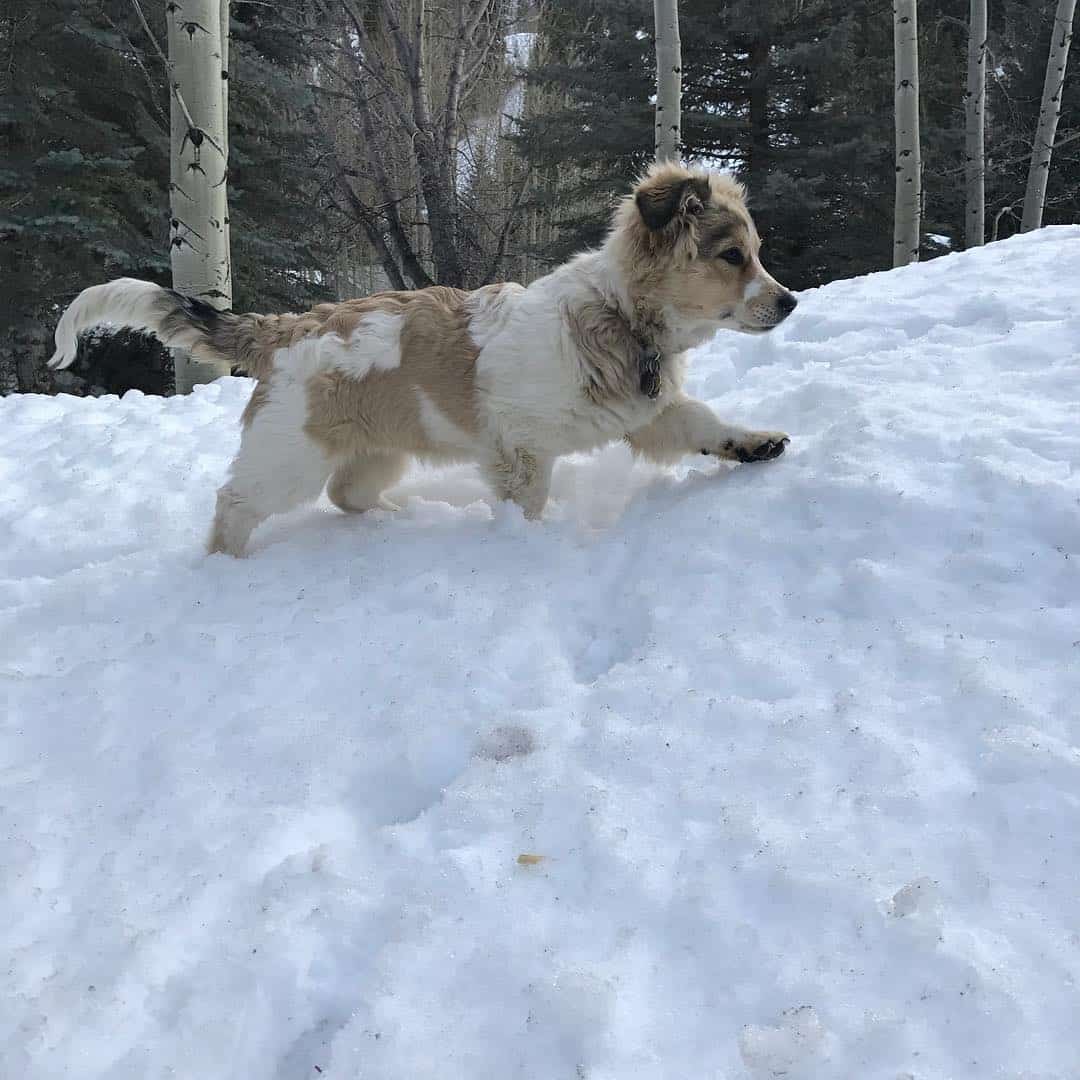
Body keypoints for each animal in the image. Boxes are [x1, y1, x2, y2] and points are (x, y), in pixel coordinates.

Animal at [48, 162, 794, 557]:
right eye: (733, 256)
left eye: (755, 252)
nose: (788, 303)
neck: (617, 318)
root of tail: (289, 327)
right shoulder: (520, 447)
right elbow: (528, 503)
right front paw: (532, 543)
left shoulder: (649, 411)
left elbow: (702, 423)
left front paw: (757, 443)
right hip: (288, 454)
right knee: (236, 500)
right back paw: (225, 564)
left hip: (378, 450)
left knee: (347, 494)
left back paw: (393, 517)